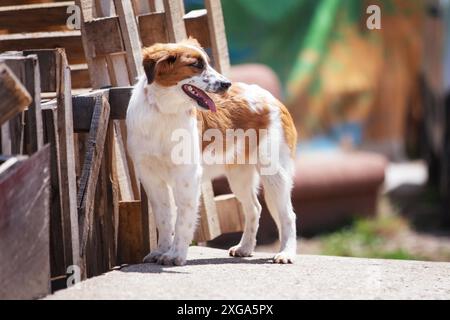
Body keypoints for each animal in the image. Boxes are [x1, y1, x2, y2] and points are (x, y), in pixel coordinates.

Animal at [125, 38, 298, 266]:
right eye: (196, 65)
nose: (227, 84)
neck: (163, 112)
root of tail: (272, 98)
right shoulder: (151, 177)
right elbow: (164, 219)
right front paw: (160, 251)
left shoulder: (187, 176)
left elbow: (182, 220)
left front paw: (175, 255)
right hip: (239, 177)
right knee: (254, 208)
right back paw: (245, 247)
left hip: (274, 173)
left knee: (288, 215)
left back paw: (286, 253)